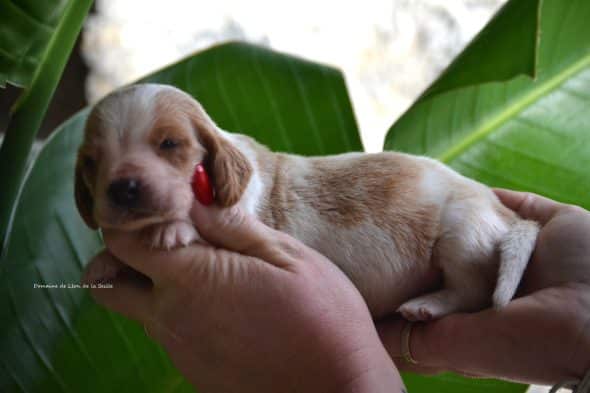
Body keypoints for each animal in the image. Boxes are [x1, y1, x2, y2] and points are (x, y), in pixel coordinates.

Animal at [77, 82, 540, 318]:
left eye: (170, 144)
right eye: (91, 163)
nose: (123, 188)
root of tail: (507, 214)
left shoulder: (243, 217)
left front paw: (172, 228)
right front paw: (104, 261)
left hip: (462, 237)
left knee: (471, 291)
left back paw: (426, 305)